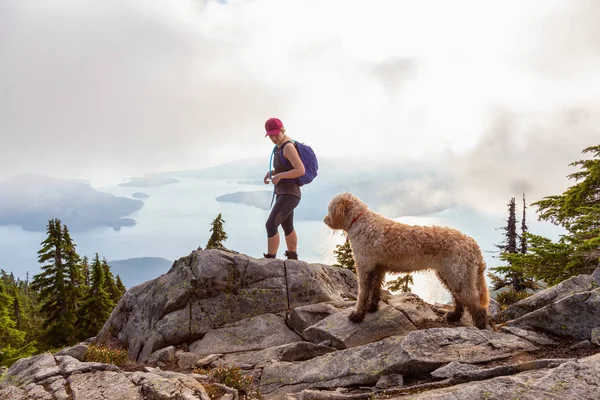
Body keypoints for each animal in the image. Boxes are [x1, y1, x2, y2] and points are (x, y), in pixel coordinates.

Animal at [326, 193, 490, 328]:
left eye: (330, 209)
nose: (325, 220)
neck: (361, 221)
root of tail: (473, 244)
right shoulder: (378, 267)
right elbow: (375, 289)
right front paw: (373, 308)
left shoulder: (364, 266)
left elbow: (363, 294)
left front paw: (357, 315)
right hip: (450, 274)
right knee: (459, 299)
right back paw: (454, 316)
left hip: (458, 275)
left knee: (474, 303)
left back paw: (480, 326)